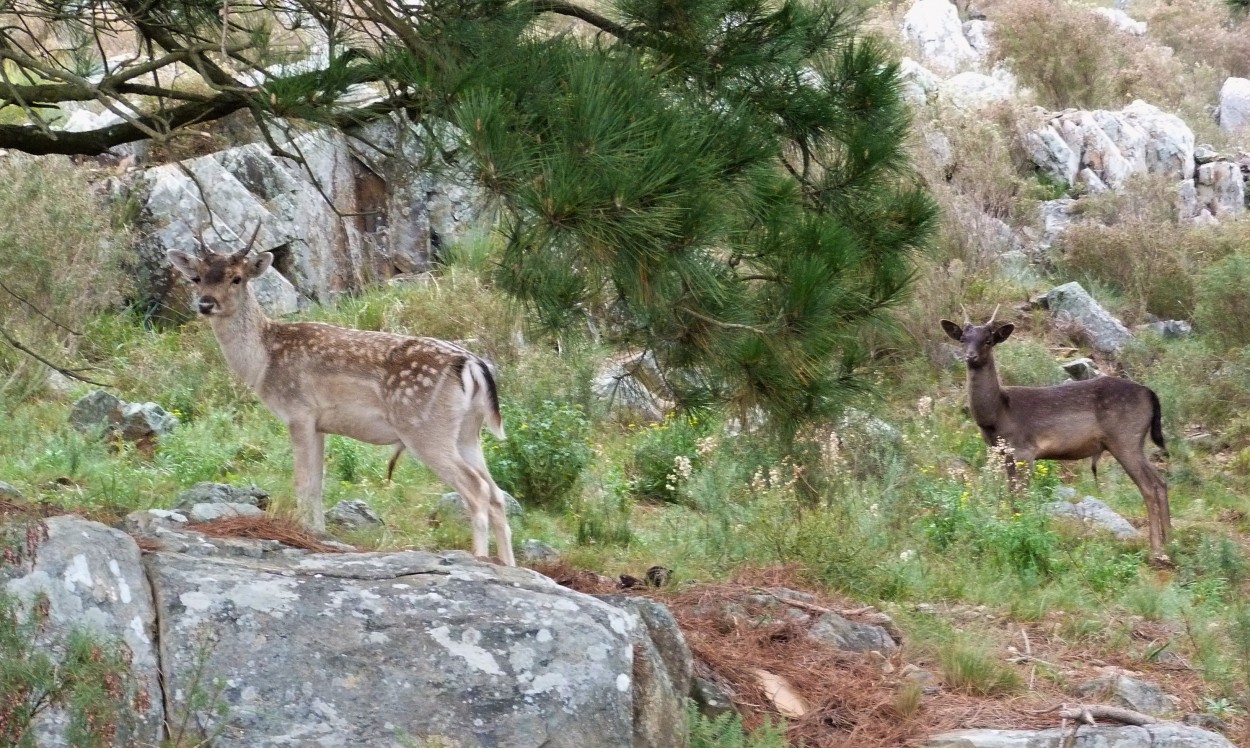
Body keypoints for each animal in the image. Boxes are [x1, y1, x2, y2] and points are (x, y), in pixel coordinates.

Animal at [940, 312, 1170, 562]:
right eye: (963, 338)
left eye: (989, 340)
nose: (970, 356)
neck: (997, 415)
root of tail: (1151, 393)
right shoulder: (1005, 453)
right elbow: (1013, 496)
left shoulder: (1024, 449)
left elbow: (1022, 496)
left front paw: (1023, 533)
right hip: (1135, 442)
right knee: (1161, 482)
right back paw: (1169, 540)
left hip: (1125, 438)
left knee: (1148, 486)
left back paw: (1157, 550)